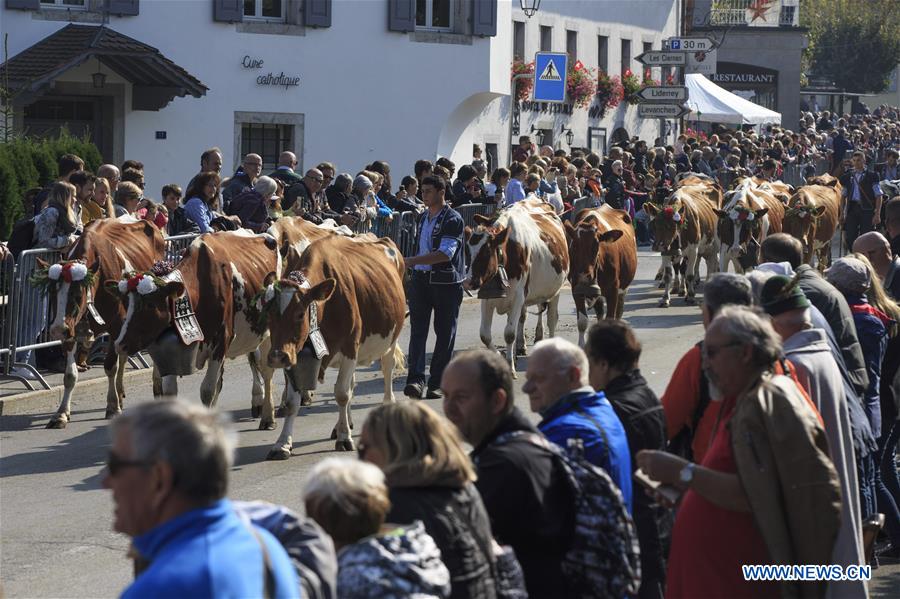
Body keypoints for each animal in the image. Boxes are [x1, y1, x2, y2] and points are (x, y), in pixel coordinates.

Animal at [114, 229, 280, 408]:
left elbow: (207, 391)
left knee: (261, 365)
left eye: (150, 304)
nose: (120, 344)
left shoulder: (222, 341)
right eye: (127, 302)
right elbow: (170, 390)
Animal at [262, 234, 406, 454]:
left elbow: (341, 394)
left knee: (386, 369)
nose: (277, 356)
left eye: (300, 314)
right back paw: (342, 424)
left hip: (391, 338)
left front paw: (345, 438)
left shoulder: (349, 347)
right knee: (353, 384)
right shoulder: (294, 354)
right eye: (269, 313)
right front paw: (283, 443)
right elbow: (293, 402)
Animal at [468, 198, 568, 376]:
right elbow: (485, 335)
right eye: (467, 250)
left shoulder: (518, 296)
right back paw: (521, 346)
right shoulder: (488, 299)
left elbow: (509, 333)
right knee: (525, 316)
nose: (469, 281)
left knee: (551, 319)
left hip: (554, 290)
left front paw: (510, 366)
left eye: (486, 252)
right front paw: (505, 358)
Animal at [568, 206, 636, 346]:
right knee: (600, 312)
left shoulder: (613, 289)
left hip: (623, 288)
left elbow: (611, 317)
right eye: (574, 246)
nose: (584, 277)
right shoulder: (576, 289)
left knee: (619, 312)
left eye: (596, 246)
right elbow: (582, 322)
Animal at [644, 179, 720, 308]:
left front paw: (690, 296)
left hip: (713, 246)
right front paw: (665, 298)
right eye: (653, 226)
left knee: (711, 264)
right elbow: (669, 275)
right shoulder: (668, 251)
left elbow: (689, 274)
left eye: (671, 227)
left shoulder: (693, 250)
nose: (657, 246)